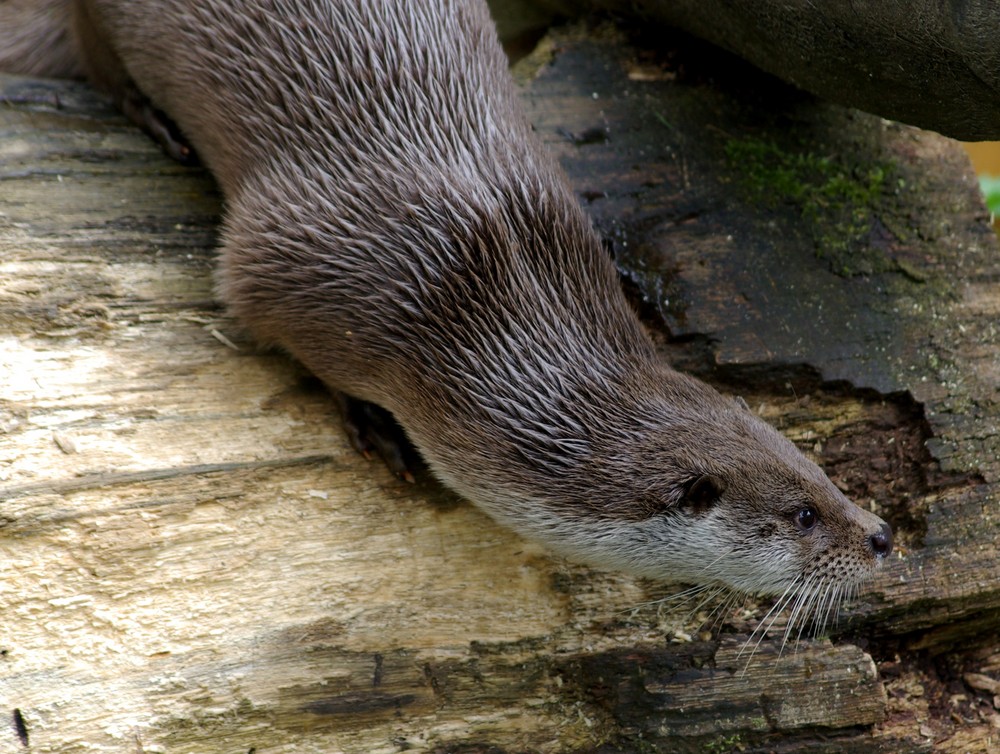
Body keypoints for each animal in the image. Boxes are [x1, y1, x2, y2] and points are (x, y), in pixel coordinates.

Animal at [0, 0, 892, 624]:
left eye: (821, 472)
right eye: (803, 515)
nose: (880, 535)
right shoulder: (292, 266)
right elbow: (260, 308)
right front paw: (370, 425)